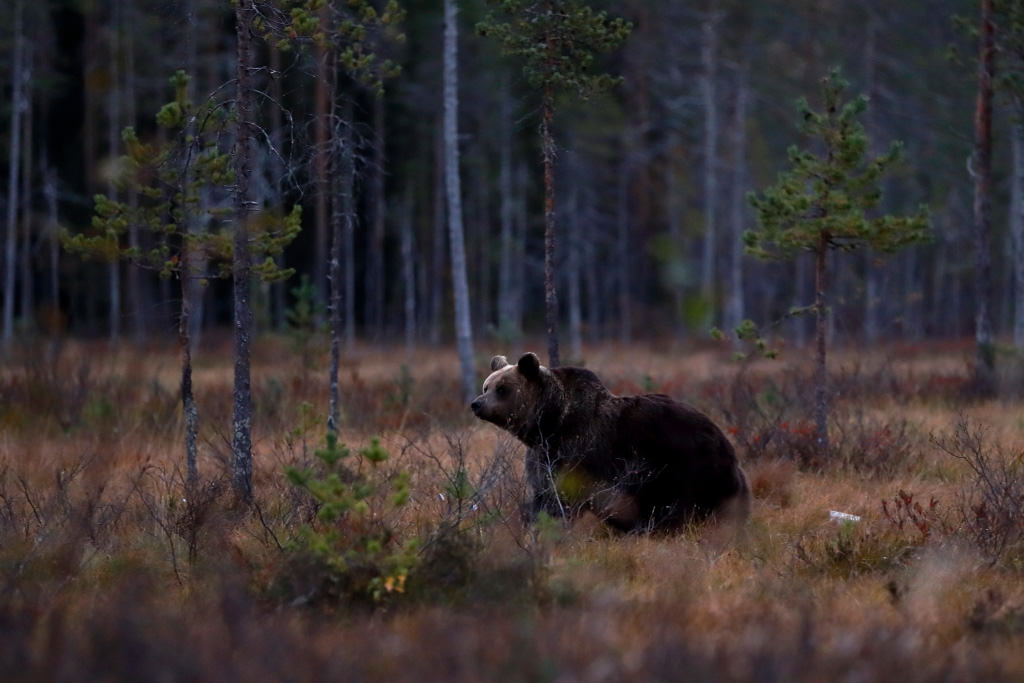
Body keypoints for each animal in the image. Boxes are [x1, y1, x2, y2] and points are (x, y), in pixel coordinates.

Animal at [470, 352, 749, 532]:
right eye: (486, 386)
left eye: (502, 388)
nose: (476, 403)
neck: (549, 422)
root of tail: (727, 445)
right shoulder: (543, 453)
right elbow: (541, 492)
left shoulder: (575, 448)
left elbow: (559, 499)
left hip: (684, 464)